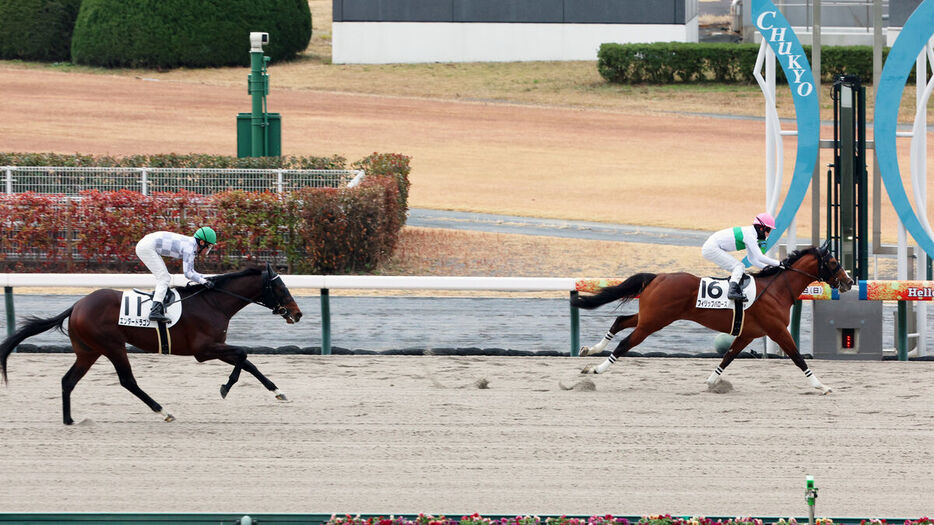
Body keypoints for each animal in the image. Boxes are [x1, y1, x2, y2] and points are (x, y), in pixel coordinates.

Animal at [0, 260, 302, 424]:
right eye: (280, 288)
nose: (297, 313)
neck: (214, 302)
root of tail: (76, 306)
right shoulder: (203, 350)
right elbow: (243, 354)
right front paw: (225, 387)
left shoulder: (214, 347)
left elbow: (248, 361)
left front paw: (278, 392)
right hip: (112, 346)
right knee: (127, 381)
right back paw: (163, 411)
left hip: (88, 351)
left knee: (68, 381)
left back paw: (69, 420)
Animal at [572, 244, 856, 390]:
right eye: (834, 263)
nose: (849, 282)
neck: (777, 289)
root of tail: (657, 276)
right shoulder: (776, 330)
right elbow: (797, 357)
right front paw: (821, 385)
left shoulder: (749, 333)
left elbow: (728, 356)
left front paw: (711, 381)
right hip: (654, 321)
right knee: (625, 343)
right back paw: (597, 368)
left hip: (651, 316)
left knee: (621, 321)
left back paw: (589, 350)